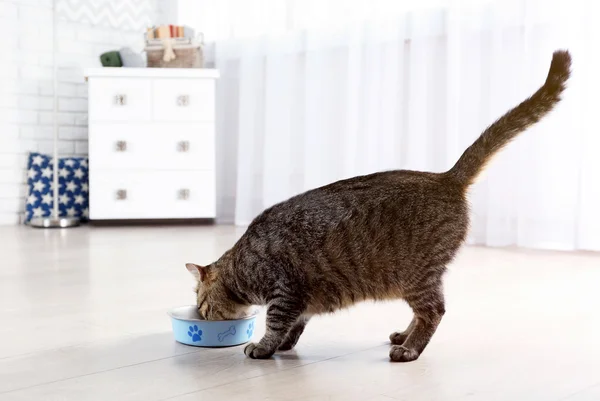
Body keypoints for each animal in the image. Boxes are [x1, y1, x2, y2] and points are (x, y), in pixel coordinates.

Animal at [186, 49, 572, 360]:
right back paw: (404, 335)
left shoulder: (285, 289)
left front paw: (264, 347)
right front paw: (283, 345)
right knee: (425, 311)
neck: (242, 264)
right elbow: (296, 324)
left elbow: (277, 322)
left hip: (415, 274)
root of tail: (445, 177)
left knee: (435, 311)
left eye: (201, 302)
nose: (199, 316)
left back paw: (410, 349)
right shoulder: (302, 299)